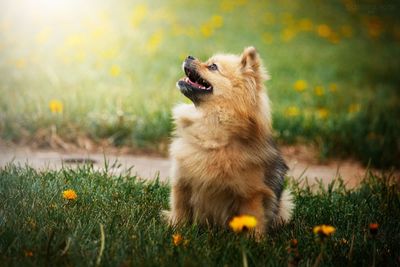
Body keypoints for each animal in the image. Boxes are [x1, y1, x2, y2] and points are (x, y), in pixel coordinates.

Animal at [163, 47, 294, 238]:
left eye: (213, 66)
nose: (189, 56)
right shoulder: (182, 184)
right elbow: (180, 211)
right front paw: (176, 231)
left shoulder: (251, 195)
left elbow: (254, 220)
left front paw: (254, 241)